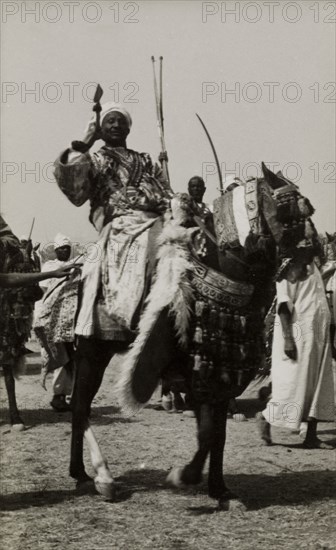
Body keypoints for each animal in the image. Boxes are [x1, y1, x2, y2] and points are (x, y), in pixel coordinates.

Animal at [67, 163, 318, 508]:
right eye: (290, 208)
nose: (314, 249)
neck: (220, 265)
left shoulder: (218, 371)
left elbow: (215, 434)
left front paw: (220, 490)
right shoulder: (197, 371)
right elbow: (208, 434)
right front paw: (183, 476)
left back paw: (80, 474)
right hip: (94, 350)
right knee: (80, 406)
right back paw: (101, 476)